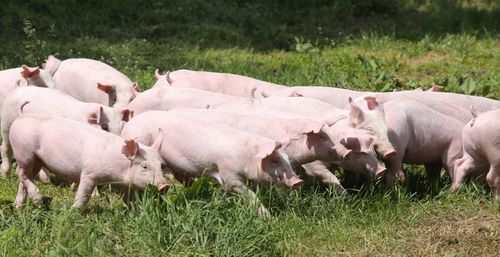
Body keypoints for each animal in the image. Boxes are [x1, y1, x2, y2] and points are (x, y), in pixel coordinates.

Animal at [0, 86, 133, 176]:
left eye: (121, 128)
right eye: (105, 127)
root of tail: (16, 90)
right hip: (6, 124)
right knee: (5, 148)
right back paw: (5, 174)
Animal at [9, 114, 169, 208]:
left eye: (161, 166)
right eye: (144, 166)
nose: (165, 186)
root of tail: (17, 120)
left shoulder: (125, 184)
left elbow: (130, 200)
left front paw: (133, 212)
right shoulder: (89, 174)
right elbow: (83, 196)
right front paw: (73, 212)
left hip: (37, 160)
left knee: (26, 176)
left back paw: (18, 206)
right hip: (24, 153)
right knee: (21, 173)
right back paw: (38, 202)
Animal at [120, 110, 304, 216]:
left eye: (287, 159)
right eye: (274, 160)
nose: (298, 181)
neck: (246, 155)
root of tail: (129, 125)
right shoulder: (228, 173)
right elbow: (245, 192)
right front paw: (269, 218)